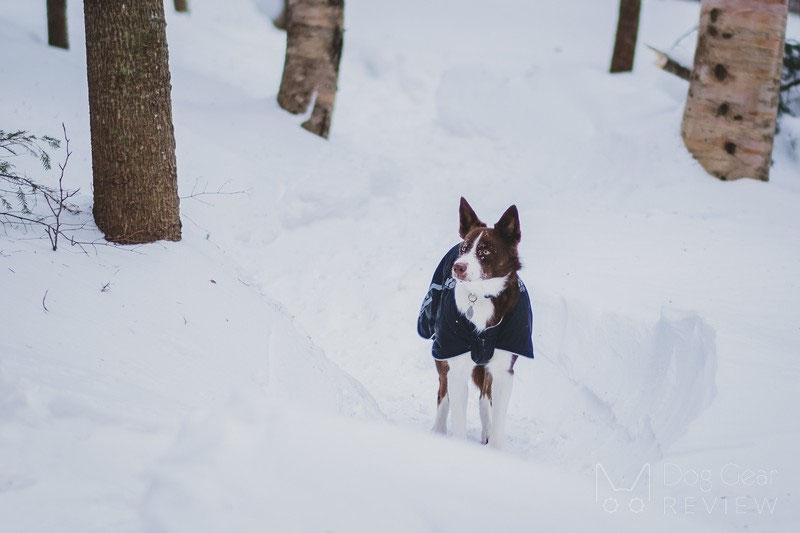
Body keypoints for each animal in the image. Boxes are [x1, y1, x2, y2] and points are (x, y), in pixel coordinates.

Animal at [422, 197, 536, 446]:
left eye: (484, 250)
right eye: (464, 248)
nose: (458, 267)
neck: (482, 296)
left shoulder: (504, 369)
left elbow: (497, 417)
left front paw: (494, 446)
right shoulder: (456, 360)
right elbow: (456, 414)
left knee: (485, 396)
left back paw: (486, 430)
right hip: (442, 351)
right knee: (443, 393)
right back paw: (438, 430)